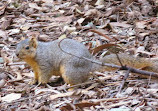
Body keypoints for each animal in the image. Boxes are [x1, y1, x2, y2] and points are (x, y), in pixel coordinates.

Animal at [15, 37, 158, 85]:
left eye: (27, 47)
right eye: (16, 45)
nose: (16, 54)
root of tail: (90, 65)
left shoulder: (45, 64)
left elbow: (44, 75)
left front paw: (41, 84)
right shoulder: (35, 68)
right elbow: (35, 75)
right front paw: (32, 81)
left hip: (69, 69)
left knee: (79, 82)